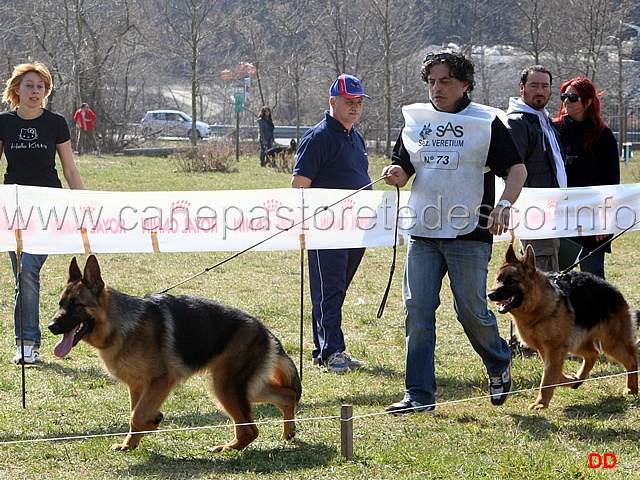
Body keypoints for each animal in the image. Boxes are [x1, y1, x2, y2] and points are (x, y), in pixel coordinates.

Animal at [47, 256, 302, 452]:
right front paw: (131, 443)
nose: (51, 326)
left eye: (75, 304)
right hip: (245, 388)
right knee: (287, 397)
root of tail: (263, 328)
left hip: (225, 387)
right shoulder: (137, 386)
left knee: (250, 429)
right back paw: (287, 432)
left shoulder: (161, 381)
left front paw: (149, 425)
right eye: (61, 303)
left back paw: (228, 448)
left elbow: (136, 415)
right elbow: (136, 414)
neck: (119, 324)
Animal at [490, 246, 636, 410]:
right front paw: (570, 380)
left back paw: (631, 388)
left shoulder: (555, 349)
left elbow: (547, 378)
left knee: (631, 360)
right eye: (498, 279)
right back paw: (579, 378)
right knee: (593, 353)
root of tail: (615, 290)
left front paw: (541, 403)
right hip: (577, 344)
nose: (490, 294)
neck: (537, 306)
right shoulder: (546, 349)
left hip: (612, 344)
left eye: (511, 281)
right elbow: (554, 374)